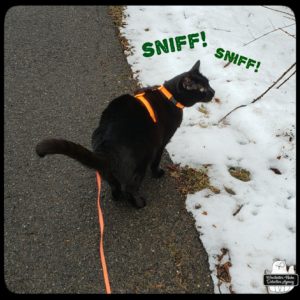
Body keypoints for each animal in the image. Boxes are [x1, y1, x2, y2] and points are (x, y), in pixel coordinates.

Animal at [36, 59, 214, 207]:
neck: (169, 96)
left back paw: (117, 197)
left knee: (114, 185)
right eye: (202, 89)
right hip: (140, 163)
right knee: (130, 188)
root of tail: (105, 148)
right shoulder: (161, 142)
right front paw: (157, 173)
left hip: (107, 171)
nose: (213, 92)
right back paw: (139, 203)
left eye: (209, 84)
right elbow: (156, 161)